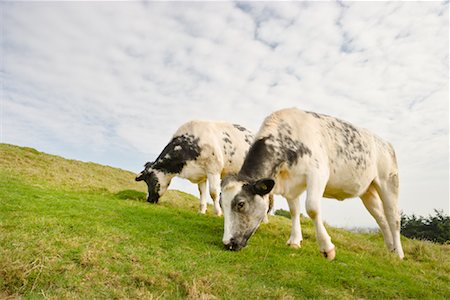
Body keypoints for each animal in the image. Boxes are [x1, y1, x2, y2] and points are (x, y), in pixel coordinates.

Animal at [221, 108, 404, 260]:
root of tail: (386, 143)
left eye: (241, 204)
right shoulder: (291, 185)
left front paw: (327, 248)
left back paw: (399, 254)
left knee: (393, 217)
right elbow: (294, 211)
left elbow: (312, 208)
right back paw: (391, 249)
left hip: (389, 181)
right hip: (368, 191)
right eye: (221, 204)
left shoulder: (318, 173)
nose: (227, 243)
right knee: (381, 218)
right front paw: (295, 241)